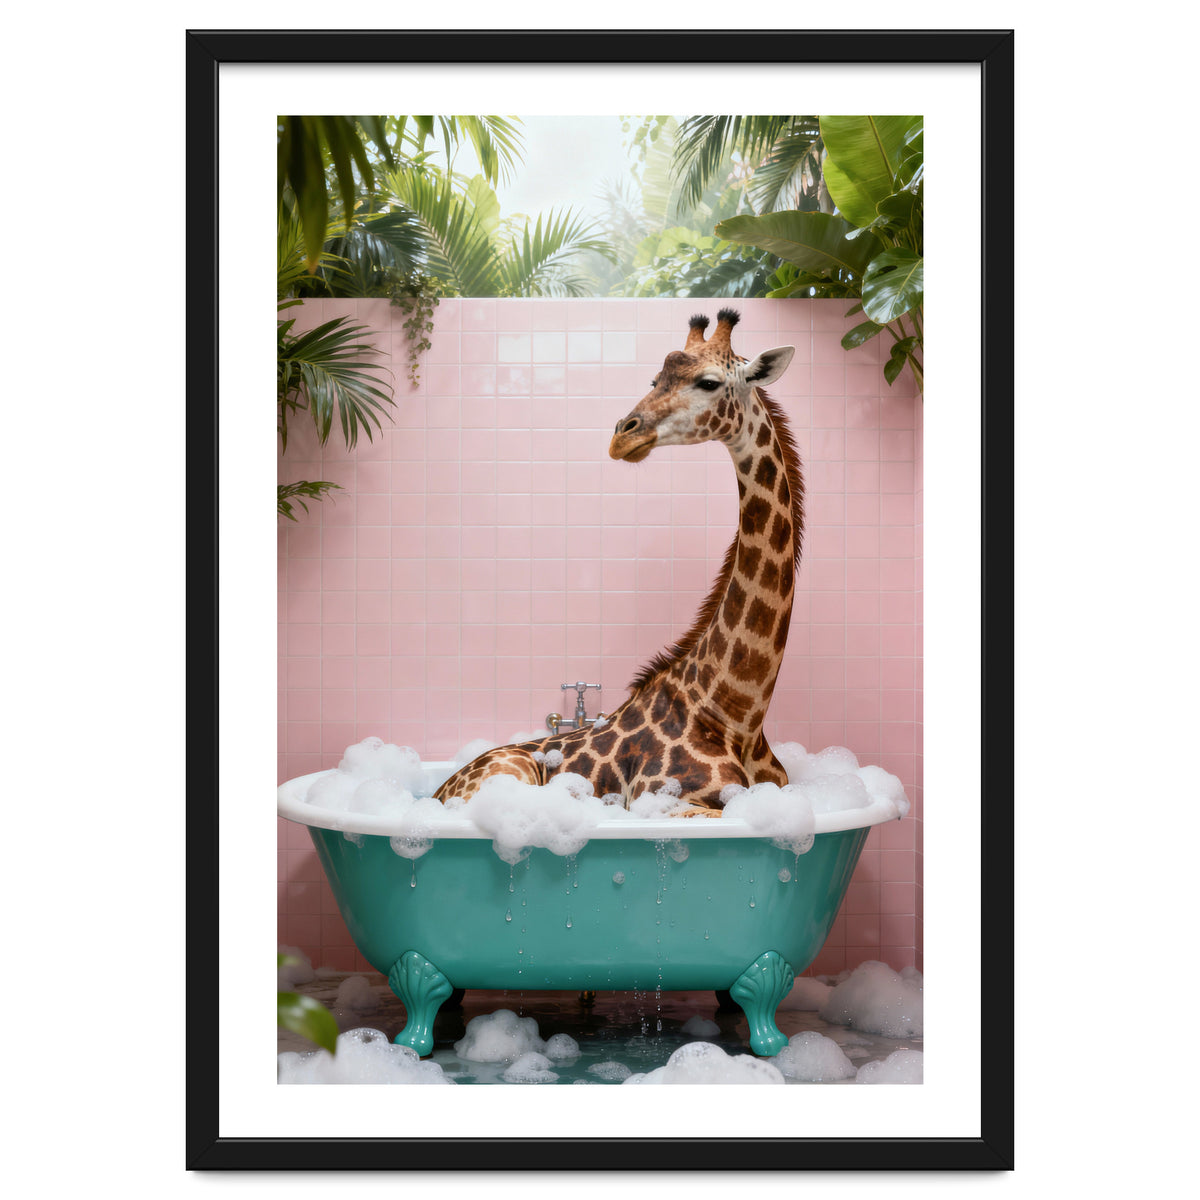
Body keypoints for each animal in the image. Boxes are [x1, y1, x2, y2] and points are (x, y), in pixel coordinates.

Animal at [434, 308, 801, 817]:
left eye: (708, 382)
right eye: (654, 379)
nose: (623, 436)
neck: (737, 714)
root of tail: (437, 790)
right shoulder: (662, 800)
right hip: (512, 773)